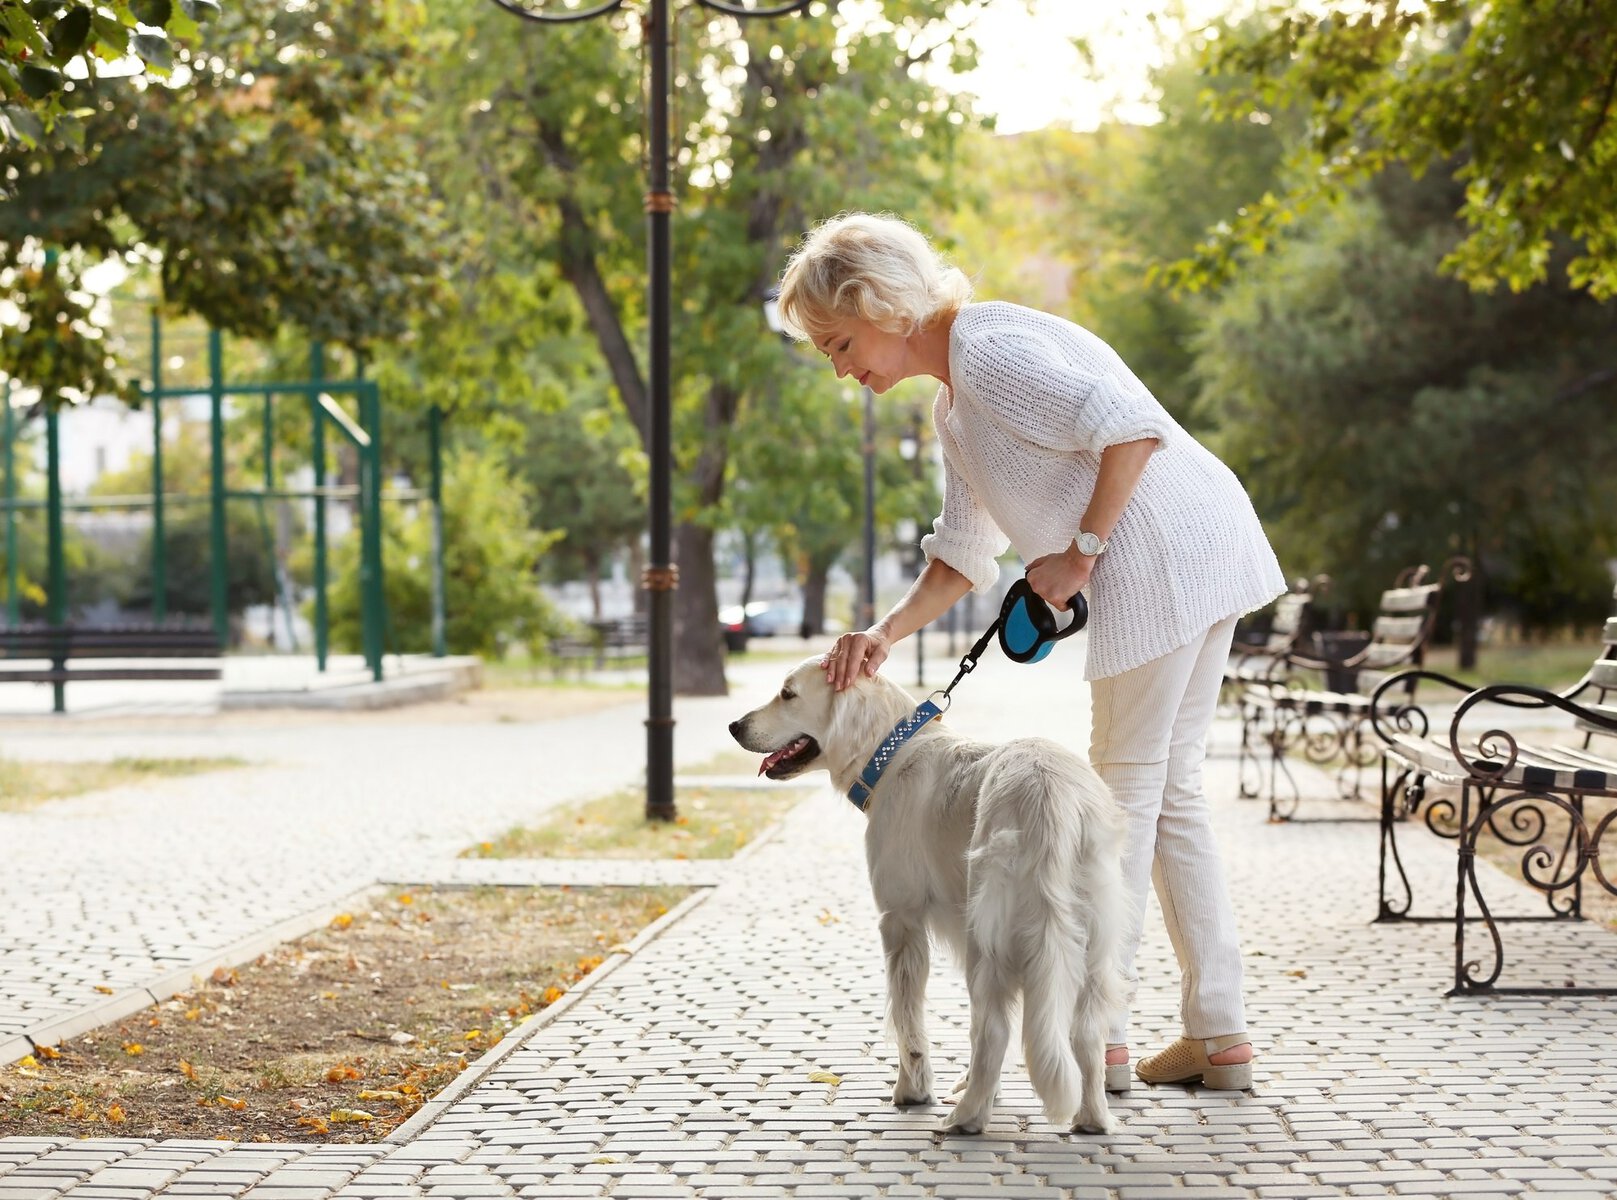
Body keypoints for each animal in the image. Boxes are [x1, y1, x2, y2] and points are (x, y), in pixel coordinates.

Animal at [734, 656, 1125, 1138]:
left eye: (788, 694)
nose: (734, 725)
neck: (892, 752)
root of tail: (1052, 790)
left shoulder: (899, 920)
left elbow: (906, 1017)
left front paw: (913, 1089)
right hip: (1094, 938)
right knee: (1085, 1032)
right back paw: (1092, 1118)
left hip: (986, 935)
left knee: (994, 1029)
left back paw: (967, 1118)